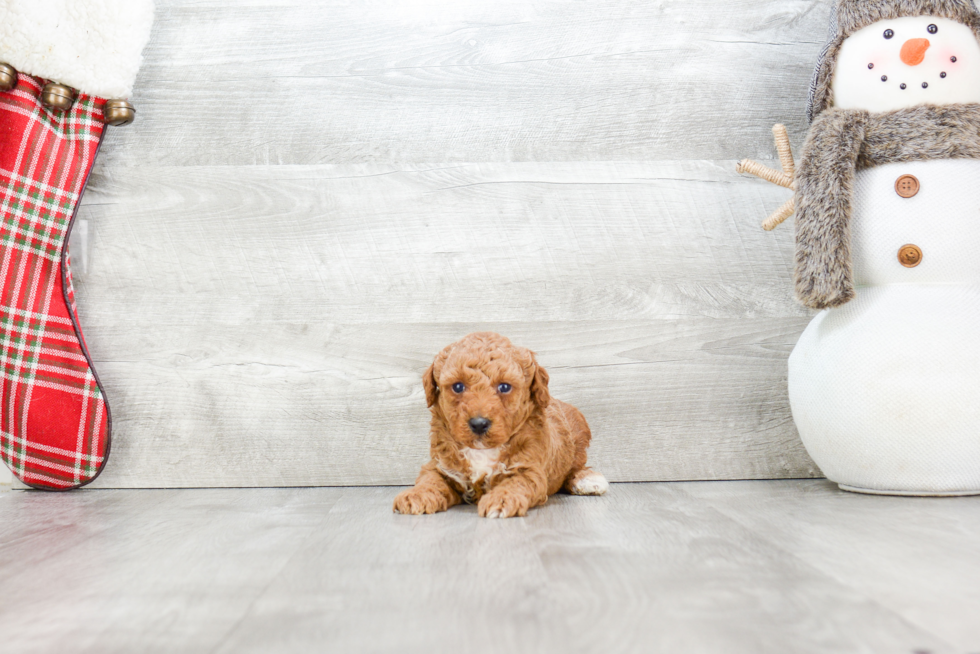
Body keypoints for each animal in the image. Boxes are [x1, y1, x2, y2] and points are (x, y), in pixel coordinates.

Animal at [390, 336, 604, 520]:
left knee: (576, 468)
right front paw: (416, 495)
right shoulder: (440, 465)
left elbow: (516, 483)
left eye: (504, 387)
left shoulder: (528, 469)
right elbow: (429, 479)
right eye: (458, 387)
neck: (481, 451)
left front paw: (501, 500)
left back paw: (587, 480)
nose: (479, 423)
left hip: (578, 438)